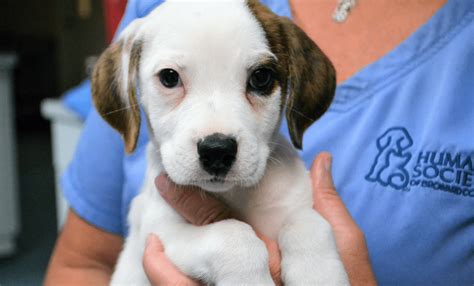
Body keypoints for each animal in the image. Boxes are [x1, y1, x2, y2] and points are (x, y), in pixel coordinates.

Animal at [91, 0, 348, 284]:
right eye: (169, 77)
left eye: (261, 77)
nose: (217, 151)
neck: (234, 195)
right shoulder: (160, 229)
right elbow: (233, 234)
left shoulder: (295, 204)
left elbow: (311, 224)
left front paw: (320, 274)